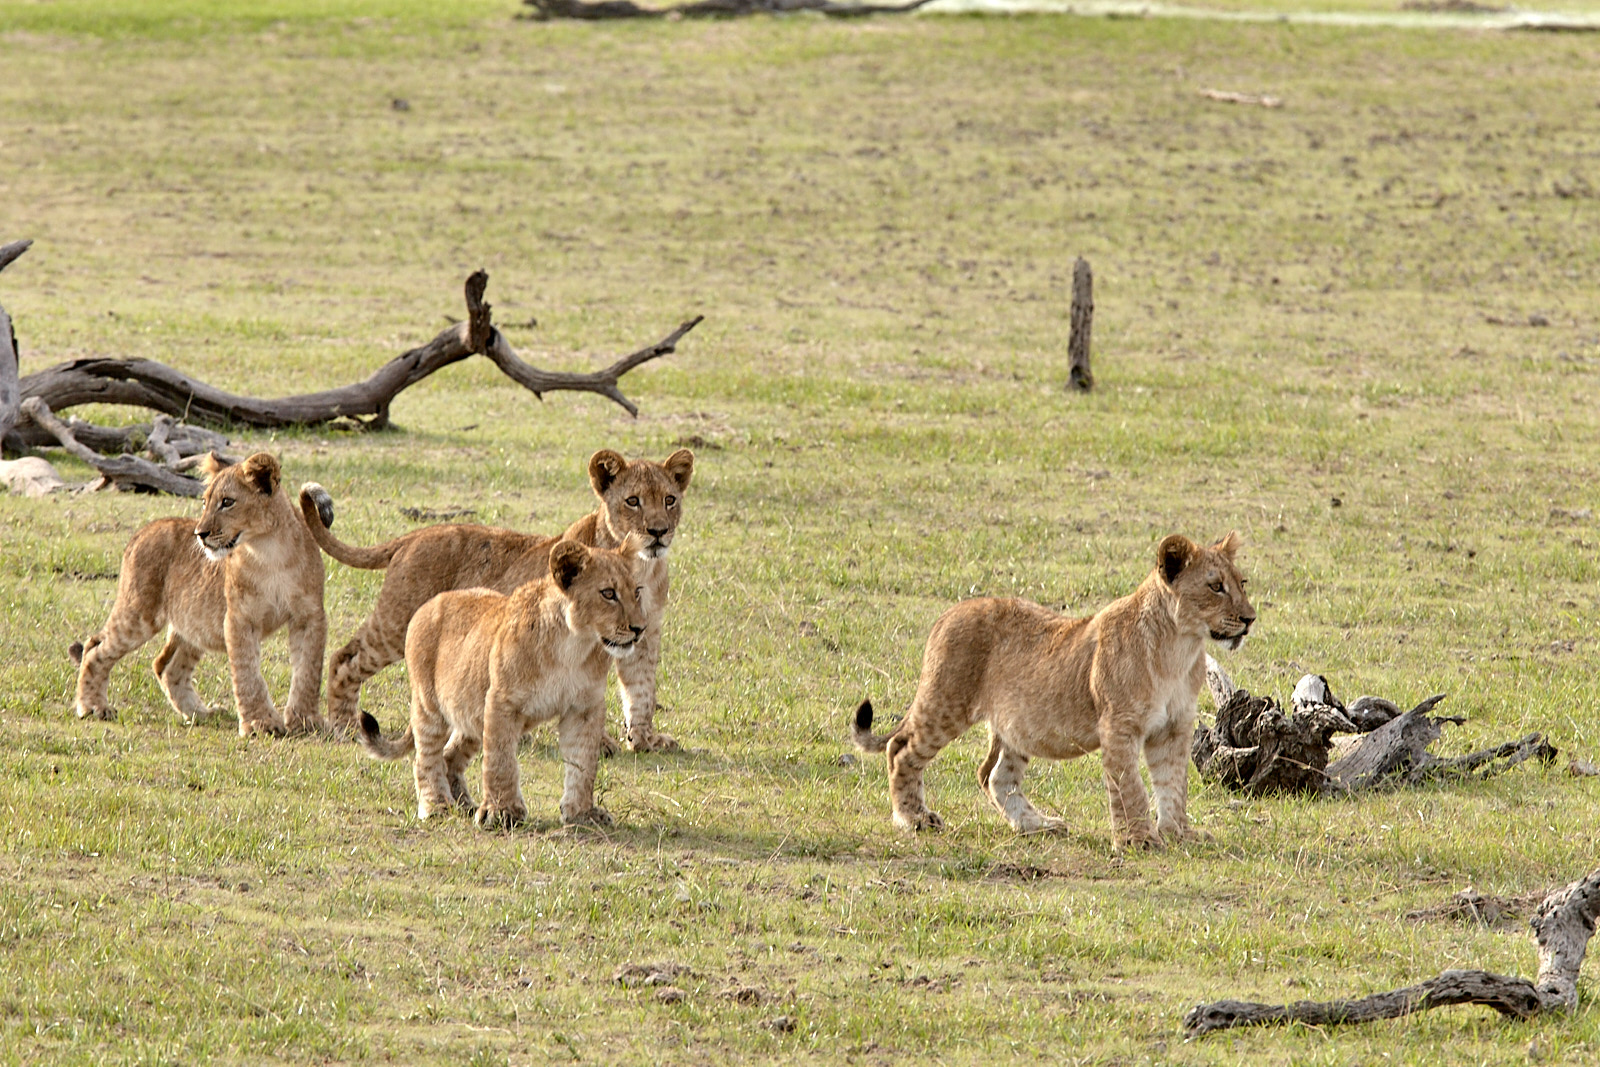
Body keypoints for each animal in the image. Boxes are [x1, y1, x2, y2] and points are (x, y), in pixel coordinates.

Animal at [69, 452, 330, 737]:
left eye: (227, 502)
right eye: (205, 502)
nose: (200, 534)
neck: (270, 551)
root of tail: (143, 530)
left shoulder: (309, 616)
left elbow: (308, 671)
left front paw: (306, 720)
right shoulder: (239, 619)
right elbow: (248, 673)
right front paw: (260, 723)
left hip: (194, 624)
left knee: (167, 667)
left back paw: (201, 714)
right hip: (139, 614)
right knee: (95, 648)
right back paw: (93, 707)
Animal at [299, 448, 692, 750]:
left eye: (669, 500)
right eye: (632, 501)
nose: (658, 531)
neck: (644, 568)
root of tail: (415, 535)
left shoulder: (644, 635)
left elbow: (642, 690)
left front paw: (645, 740)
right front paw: (604, 743)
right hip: (396, 624)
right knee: (344, 657)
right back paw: (345, 725)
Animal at [357, 537, 649, 829]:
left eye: (637, 591)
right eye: (608, 594)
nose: (640, 629)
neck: (574, 645)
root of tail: (430, 603)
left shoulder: (584, 708)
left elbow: (583, 763)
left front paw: (582, 813)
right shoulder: (502, 702)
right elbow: (500, 760)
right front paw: (502, 812)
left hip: (471, 711)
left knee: (450, 755)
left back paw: (464, 803)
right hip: (429, 705)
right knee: (425, 758)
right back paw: (438, 805)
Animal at [852, 532, 1255, 850]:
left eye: (1242, 582)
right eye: (1215, 586)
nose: (1250, 619)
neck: (1180, 648)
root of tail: (950, 612)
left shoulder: (1174, 728)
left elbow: (1172, 784)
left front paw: (1178, 834)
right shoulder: (1119, 725)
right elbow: (1130, 786)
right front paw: (1138, 839)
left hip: (1015, 724)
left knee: (995, 775)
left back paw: (1038, 825)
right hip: (946, 703)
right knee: (900, 749)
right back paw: (913, 818)